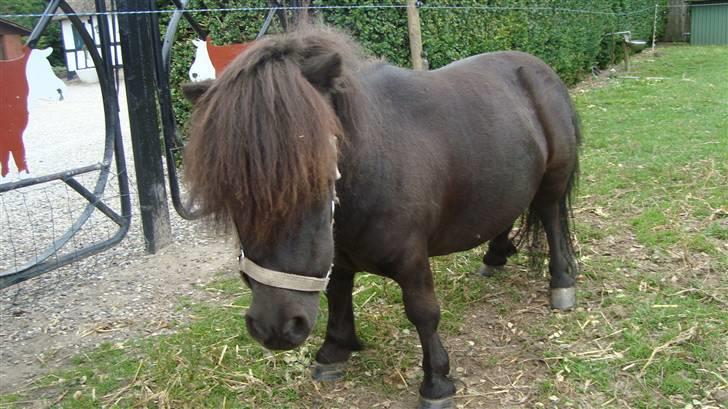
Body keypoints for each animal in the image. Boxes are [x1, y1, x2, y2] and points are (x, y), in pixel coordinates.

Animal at [182, 26, 580, 408]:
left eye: (316, 178)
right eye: (231, 193)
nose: (275, 328)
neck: (374, 167)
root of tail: (537, 68)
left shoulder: (412, 259)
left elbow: (423, 312)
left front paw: (436, 382)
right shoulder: (338, 258)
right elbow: (337, 294)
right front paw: (334, 351)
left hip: (552, 181)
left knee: (550, 219)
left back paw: (561, 283)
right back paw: (495, 257)